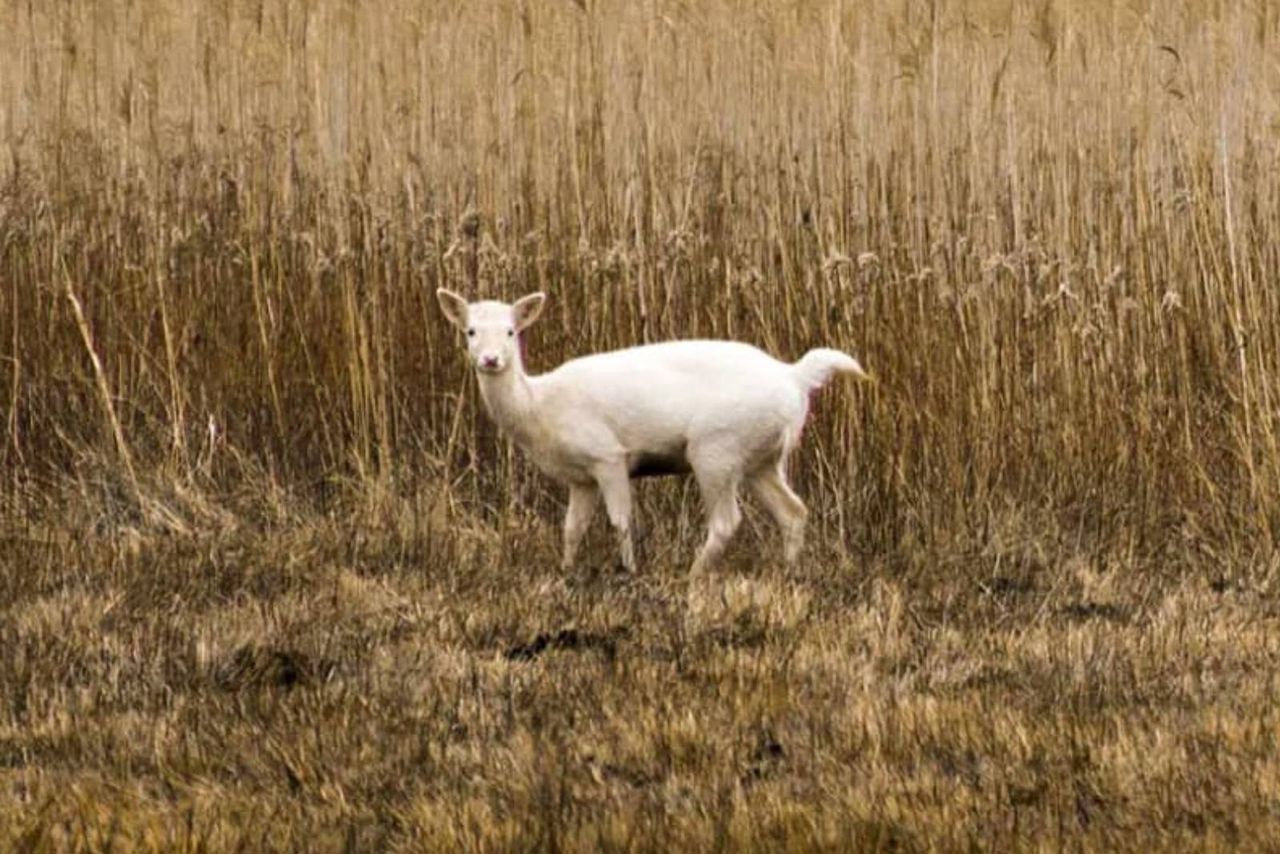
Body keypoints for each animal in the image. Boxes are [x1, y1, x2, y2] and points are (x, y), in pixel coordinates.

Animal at [432, 289, 870, 573]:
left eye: (510, 331)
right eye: (470, 331)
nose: (491, 360)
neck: (541, 408)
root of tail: (794, 377)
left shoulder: (607, 454)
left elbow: (620, 520)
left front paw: (629, 571)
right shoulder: (580, 477)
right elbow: (571, 528)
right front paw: (566, 572)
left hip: (717, 447)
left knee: (728, 521)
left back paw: (694, 575)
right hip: (762, 458)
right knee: (793, 511)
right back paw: (788, 572)